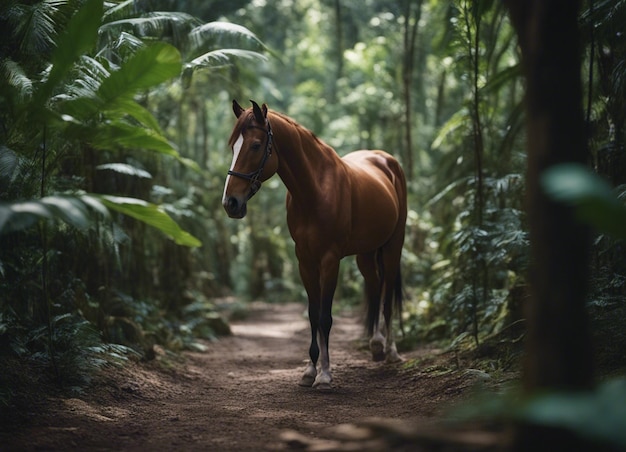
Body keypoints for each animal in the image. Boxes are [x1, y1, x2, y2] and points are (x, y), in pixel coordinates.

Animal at [222, 100, 408, 388]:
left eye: (255, 145)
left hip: (392, 246)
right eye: (233, 146)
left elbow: (325, 316)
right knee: (375, 287)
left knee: (387, 296)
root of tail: (386, 159)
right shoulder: (305, 260)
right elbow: (312, 313)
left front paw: (325, 373)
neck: (315, 190)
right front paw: (310, 370)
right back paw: (376, 345)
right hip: (365, 253)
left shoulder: (330, 260)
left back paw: (391, 351)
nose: (230, 203)